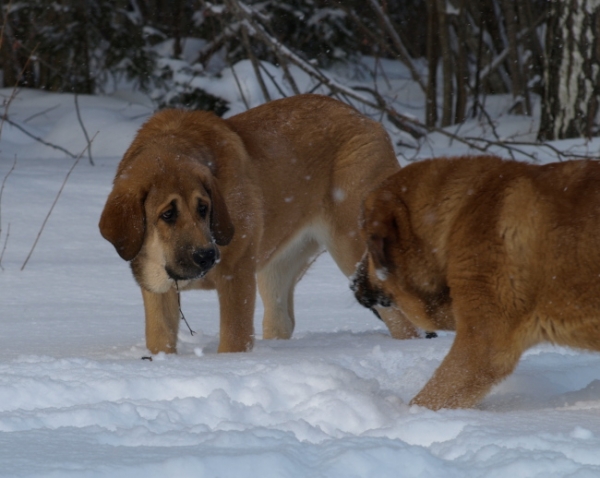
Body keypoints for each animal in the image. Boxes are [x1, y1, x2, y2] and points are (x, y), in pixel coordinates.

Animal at [99, 93, 418, 354]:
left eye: (203, 208)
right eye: (167, 215)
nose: (207, 256)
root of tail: (370, 121)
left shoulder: (236, 276)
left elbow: (233, 340)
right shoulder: (158, 292)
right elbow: (160, 341)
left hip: (353, 248)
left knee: (404, 323)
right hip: (275, 270)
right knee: (282, 319)